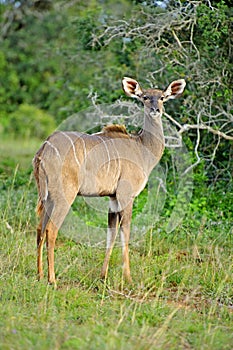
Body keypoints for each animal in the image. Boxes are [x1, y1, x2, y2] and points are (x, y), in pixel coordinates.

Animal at [33, 76, 186, 284]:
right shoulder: (126, 195)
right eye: (145, 97)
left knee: (39, 228)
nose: (156, 110)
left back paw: (40, 275)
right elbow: (125, 233)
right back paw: (52, 280)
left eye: (162, 97)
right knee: (51, 230)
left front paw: (103, 276)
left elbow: (111, 234)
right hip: (64, 195)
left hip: (46, 196)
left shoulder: (113, 197)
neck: (142, 148)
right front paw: (128, 278)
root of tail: (43, 150)